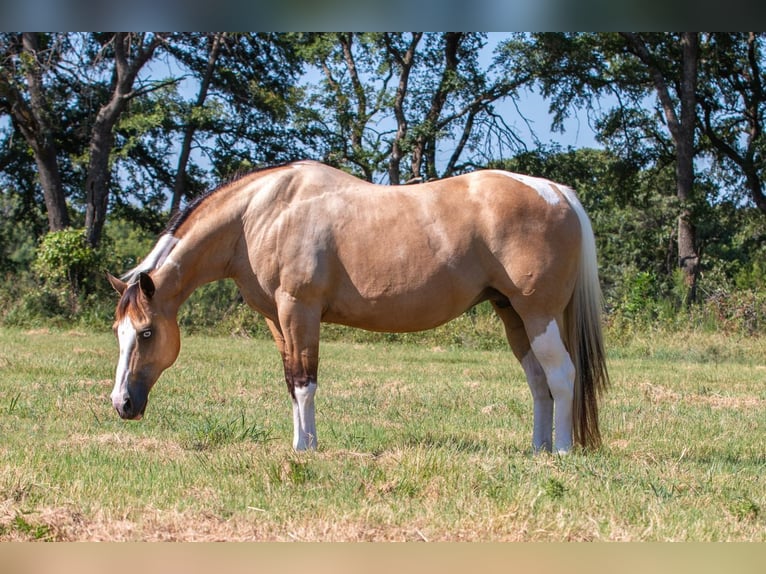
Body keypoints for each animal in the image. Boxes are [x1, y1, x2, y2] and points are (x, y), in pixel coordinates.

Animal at [107, 160, 609, 454]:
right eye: (119, 334)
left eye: (147, 332)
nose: (122, 404)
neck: (261, 214)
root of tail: (556, 191)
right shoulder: (277, 321)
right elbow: (291, 381)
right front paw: (300, 444)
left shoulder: (300, 311)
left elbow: (305, 382)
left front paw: (306, 450)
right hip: (514, 317)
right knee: (539, 383)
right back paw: (538, 450)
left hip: (538, 314)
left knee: (561, 376)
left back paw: (562, 452)